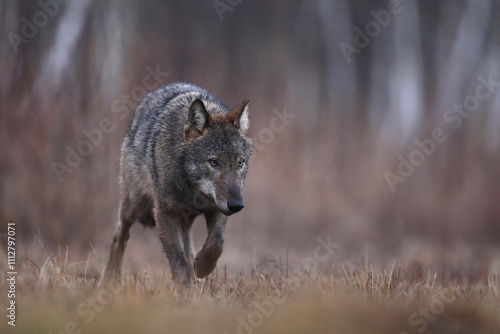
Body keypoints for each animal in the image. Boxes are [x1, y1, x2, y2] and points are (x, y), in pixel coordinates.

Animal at [105, 83, 254, 288]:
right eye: (214, 162)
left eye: (240, 162)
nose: (237, 205)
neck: (195, 193)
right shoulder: (165, 213)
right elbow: (178, 261)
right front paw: (184, 291)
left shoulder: (218, 209)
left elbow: (217, 243)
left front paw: (202, 267)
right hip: (134, 205)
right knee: (120, 234)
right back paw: (109, 280)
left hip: (184, 220)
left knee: (189, 248)